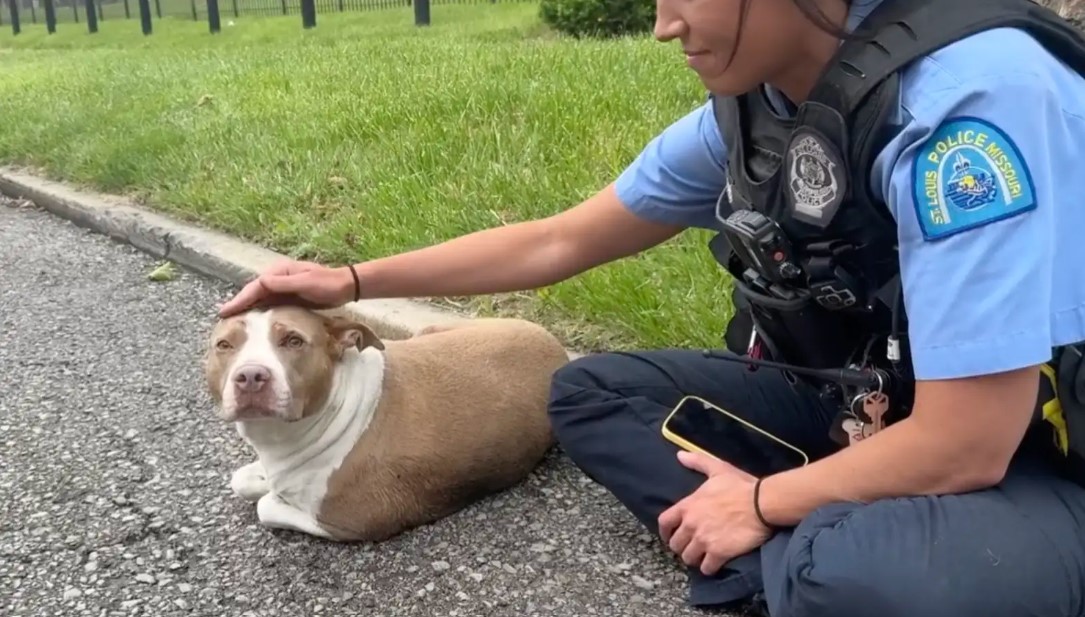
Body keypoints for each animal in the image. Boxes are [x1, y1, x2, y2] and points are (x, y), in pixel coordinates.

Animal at [201, 305, 568, 542]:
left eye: (294, 340)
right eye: (224, 345)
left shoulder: (350, 521)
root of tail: (557, 347)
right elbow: (242, 479)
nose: (250, 375)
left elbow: (266, 506)